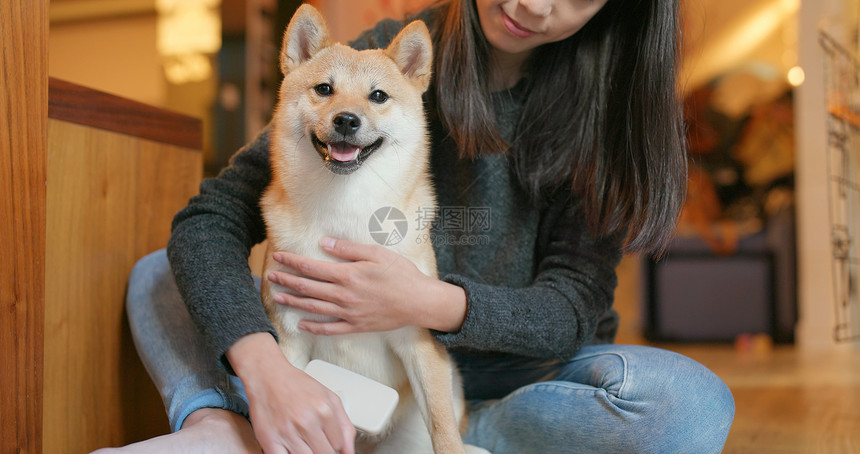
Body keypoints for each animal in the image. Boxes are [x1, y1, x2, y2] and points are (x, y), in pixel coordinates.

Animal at [256, 4, 484, 454]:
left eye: (377, 96)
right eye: (324, 89)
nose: (347, 120)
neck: (346, 213)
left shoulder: (419, 341)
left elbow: (444, 428)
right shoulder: (290, 337)